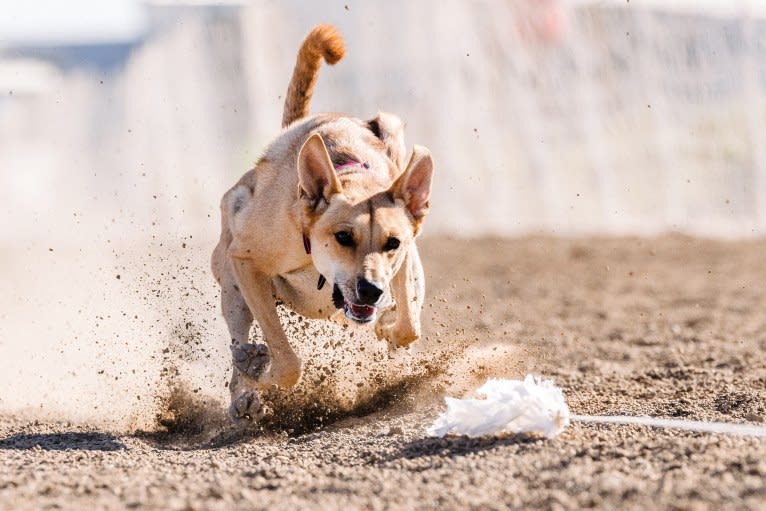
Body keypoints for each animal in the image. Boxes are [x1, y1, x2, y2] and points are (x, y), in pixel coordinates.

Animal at [213, 24, 436, 426]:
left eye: (392, 242)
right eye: (343, 236)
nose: (370, 291)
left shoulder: (406, 259)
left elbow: (409, 327)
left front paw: (390, 326)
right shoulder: (247, 260)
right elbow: (286, 362)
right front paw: (257, 370)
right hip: (232, 289)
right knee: (239, 343)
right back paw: (245, 390)